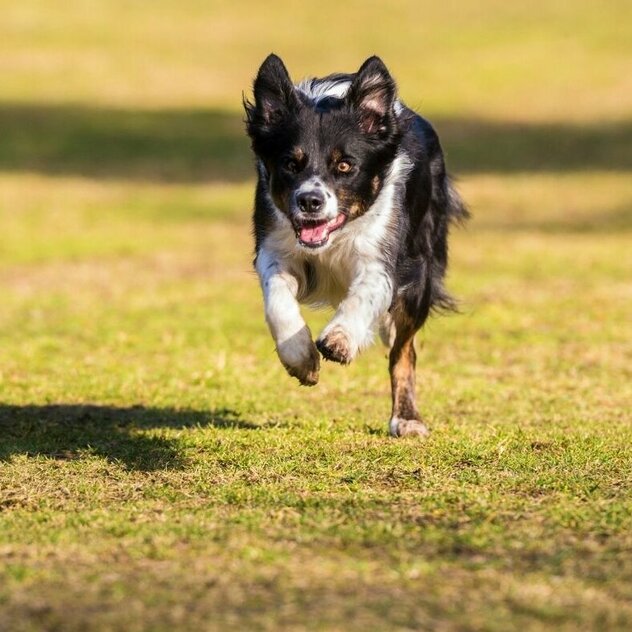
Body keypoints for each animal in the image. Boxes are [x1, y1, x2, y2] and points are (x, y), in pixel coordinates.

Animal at [244, 54, 466, 436]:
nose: (310, 201)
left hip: (421, 271)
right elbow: (278, 301)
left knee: (403, 351)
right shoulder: (274, 246)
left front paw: (340, 339)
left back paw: (406, 419)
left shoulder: (384, 255)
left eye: (346, 165)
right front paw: (301, 359)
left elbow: (364, 295)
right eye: (290, 164)